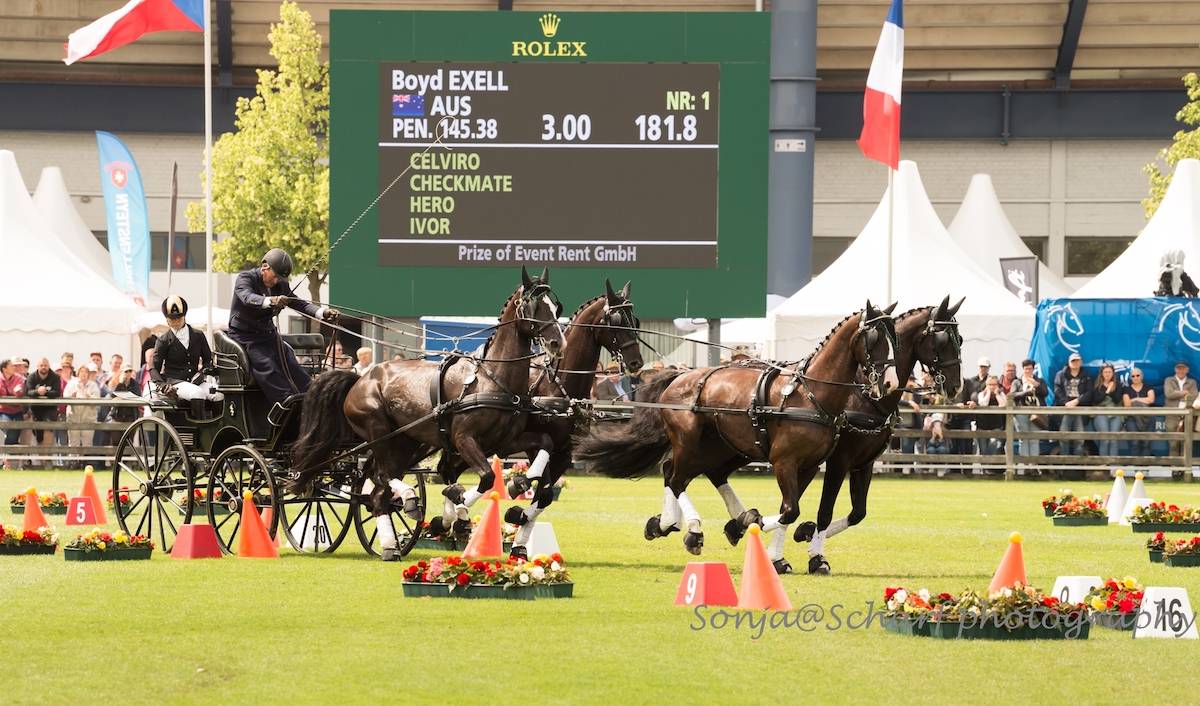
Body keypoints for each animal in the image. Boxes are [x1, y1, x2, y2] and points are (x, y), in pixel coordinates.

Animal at [294, 267, 566, 559]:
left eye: (555, 306)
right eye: (533, 306)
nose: (556, 343)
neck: (492, 378)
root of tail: (360, 378)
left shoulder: (504, 443)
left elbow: (544, 445)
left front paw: (522, 482)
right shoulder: (464, 440)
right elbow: (486, 477)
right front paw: (459, 506)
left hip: (407, 442)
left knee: (379, 494)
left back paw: (390, 545)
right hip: (379, 432)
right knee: (383, 477)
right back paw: (409, 503)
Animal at [499, 279, 648, 557]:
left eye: (634, 320)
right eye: (614, 320)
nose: (636, 362)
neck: (557, 386)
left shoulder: (564, 453)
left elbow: (545, 496)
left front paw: (519, 540)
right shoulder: (538, 445)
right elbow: (539, 485)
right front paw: (516, 499)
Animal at [576, 300, 897, 571]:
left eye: (894, 337)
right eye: (874, 339)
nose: (890, 383)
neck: (811, 394)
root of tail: (680, 376)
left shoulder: (809, 465)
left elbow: (790, 510)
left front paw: (770, 549)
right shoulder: (787, 462)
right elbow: (790, 510)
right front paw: (754, 527)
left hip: (727, 447)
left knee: (688, 473)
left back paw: (671, 523)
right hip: (690, 442)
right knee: (676, 478)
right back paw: (693, 528)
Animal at [792, 295, 969, 576]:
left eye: (959, 339)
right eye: (941, 340)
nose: (955, 387)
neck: (866, 397)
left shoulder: (865, 462)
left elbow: (858, 513)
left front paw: (806, 532)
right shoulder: (839, 461)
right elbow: (825, 511)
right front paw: (816, 556)